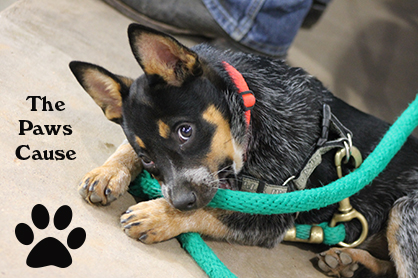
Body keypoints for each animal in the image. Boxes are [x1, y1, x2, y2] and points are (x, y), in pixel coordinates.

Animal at [70, 24, 416, 278]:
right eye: (147, 158)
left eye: (186, 131)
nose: (179, 202)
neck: (252, 110)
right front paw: (108, 172)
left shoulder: (273, 213)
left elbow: (213, 211)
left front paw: (159, 215)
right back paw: (349, 262)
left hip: (404, 211)